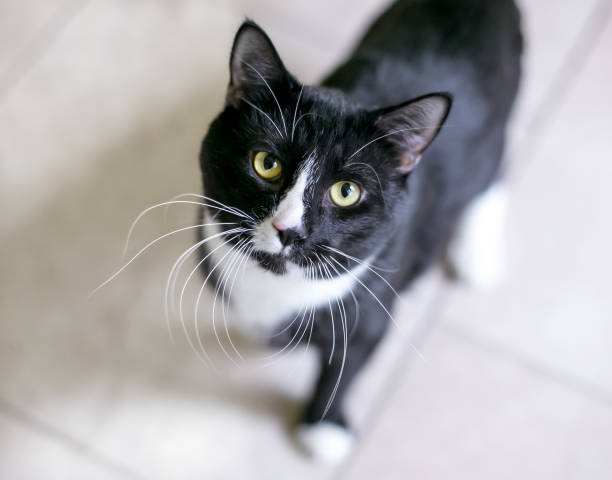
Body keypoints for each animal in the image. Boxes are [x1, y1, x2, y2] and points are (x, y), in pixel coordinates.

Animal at [196, 0, 520, 464]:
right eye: (266, 163)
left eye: (346, 191)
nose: (288, 229)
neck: (280, 286)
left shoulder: (371, 307)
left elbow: (346, 367)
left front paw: (323, 428)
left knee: (494, 164)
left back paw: (477, 254)